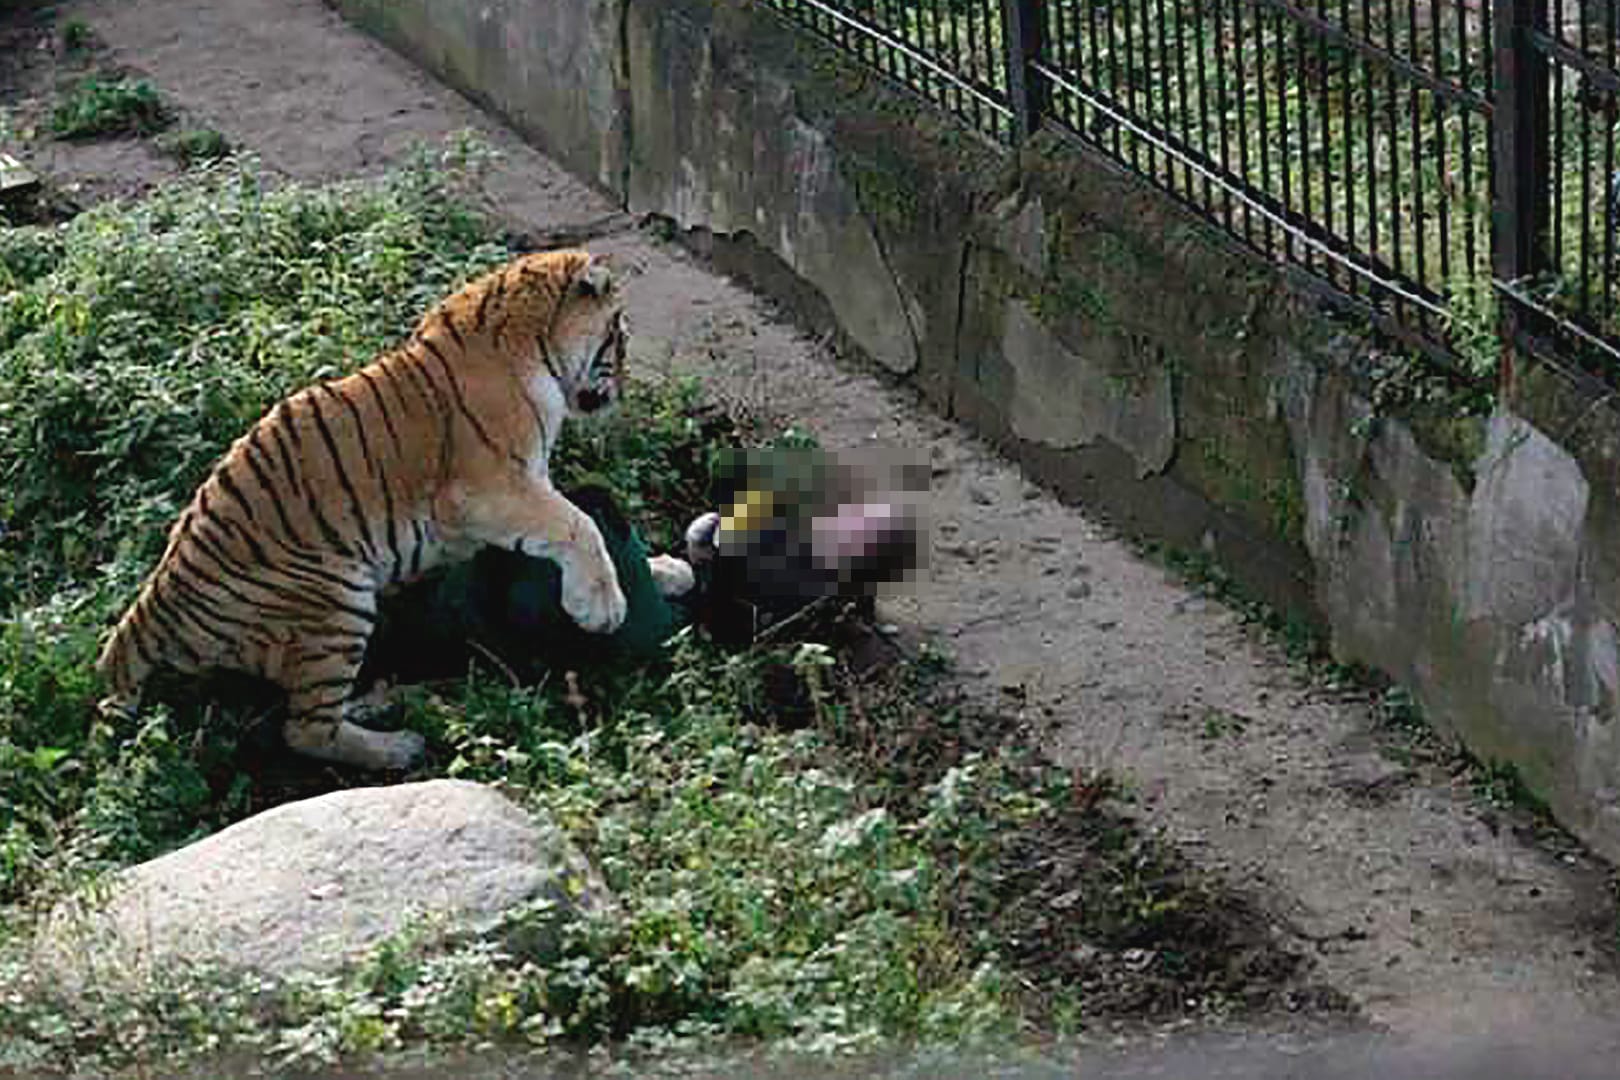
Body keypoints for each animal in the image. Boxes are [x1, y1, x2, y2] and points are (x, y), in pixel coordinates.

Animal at [93, 247, 677, 767]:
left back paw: (381, 703)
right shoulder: (489, 488)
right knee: (305, 729)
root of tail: (149, 611)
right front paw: (602, 607)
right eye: (619, 336)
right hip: (335, 600)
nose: (624, 390)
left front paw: (665, 571)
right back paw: (399, 747)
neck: (537, 342)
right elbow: (578, 525)